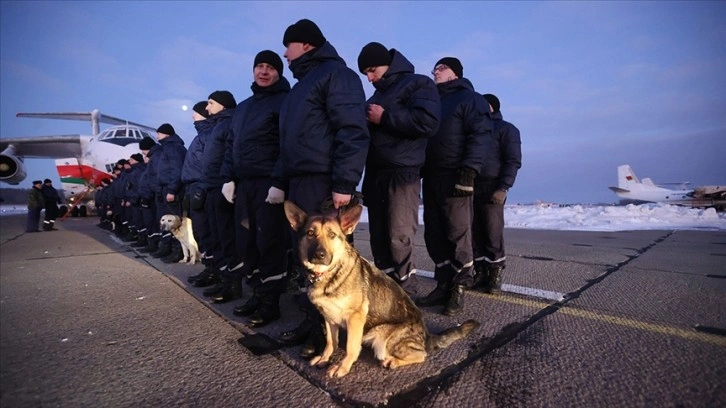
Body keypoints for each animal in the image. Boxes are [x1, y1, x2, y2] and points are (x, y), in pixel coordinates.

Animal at [286, 202, 484, 378]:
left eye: (332, 235)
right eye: (310, 233)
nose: (319, 255)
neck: (327, 274)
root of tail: (427, 337)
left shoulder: (355, 317)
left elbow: (350, 347)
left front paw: (342, 367)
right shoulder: (329, 317)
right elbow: (330, 342)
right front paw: (325, 358)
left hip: (384, 341)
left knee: (421, 355)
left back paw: (394, 361)